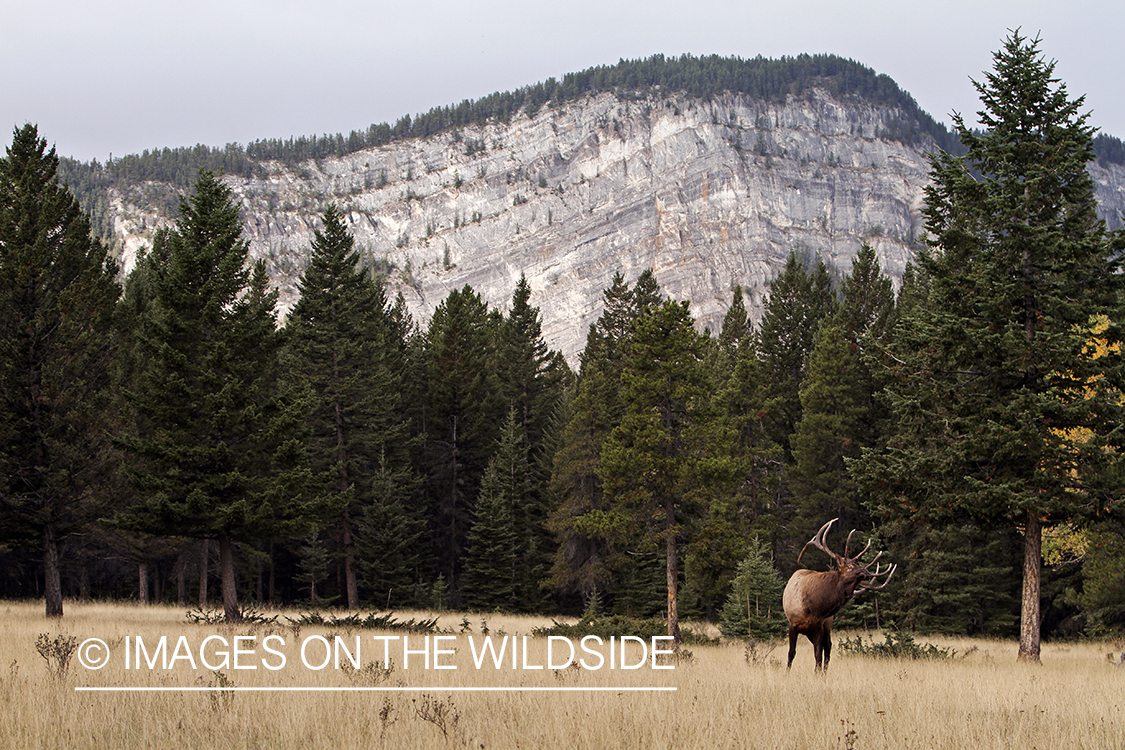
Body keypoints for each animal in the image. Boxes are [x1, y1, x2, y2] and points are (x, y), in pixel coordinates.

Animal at [783, 519, 895, 670]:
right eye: (850, 567)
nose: (866, 571)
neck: (811, 607)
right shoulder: (793, 624)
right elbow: (791, 653)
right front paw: (787, 672)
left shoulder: (818, 626)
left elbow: (818, 655)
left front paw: (818, 673)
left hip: (827, 625)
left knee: (827, 648)